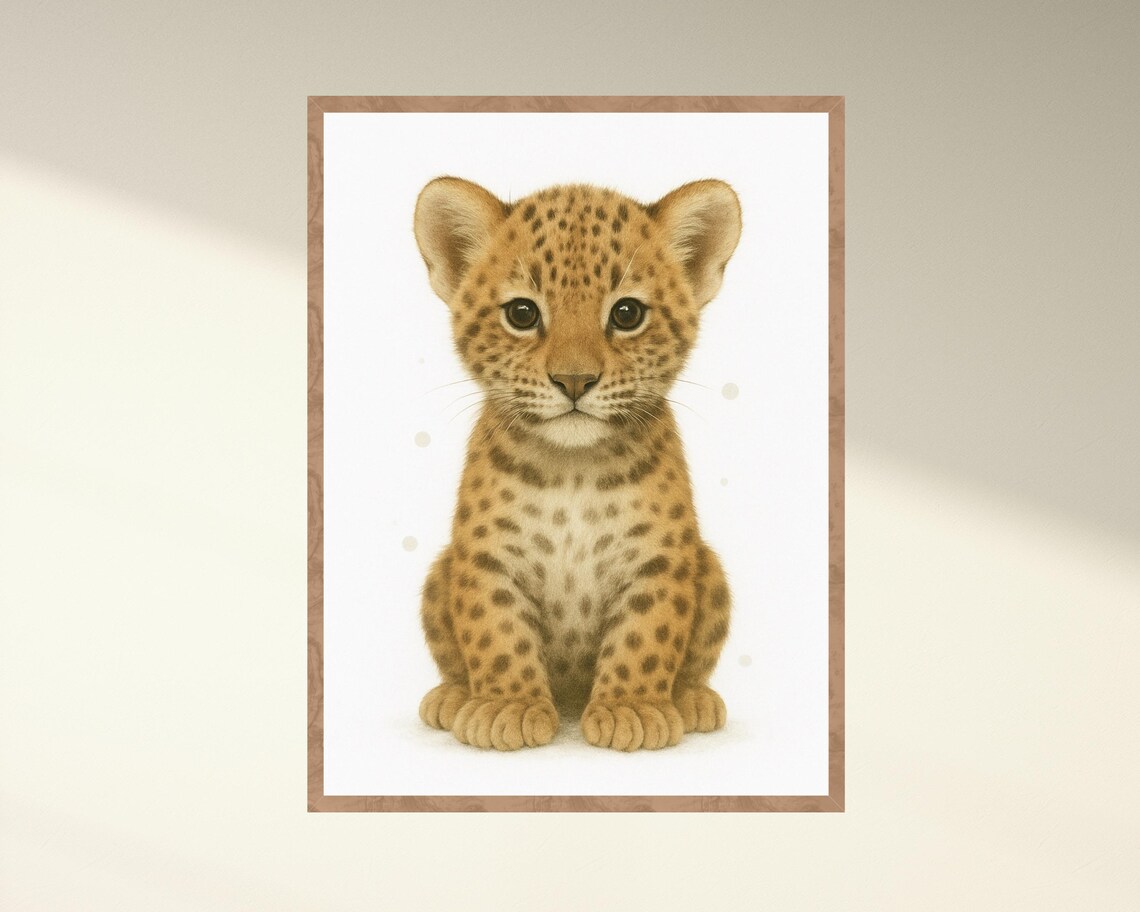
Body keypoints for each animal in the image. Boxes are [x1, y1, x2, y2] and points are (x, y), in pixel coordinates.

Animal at [412, 176, 741, 751]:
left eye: (627, 314)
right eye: (522, 314)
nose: (573, 380)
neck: (573, 470)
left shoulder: (658, 559)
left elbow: (645, 637)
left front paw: (632, 708)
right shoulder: (487, 557)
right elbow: (496, 631)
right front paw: (508, 706)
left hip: (710, 567)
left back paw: (693, 700)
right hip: (440, 571)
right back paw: (451, 698)